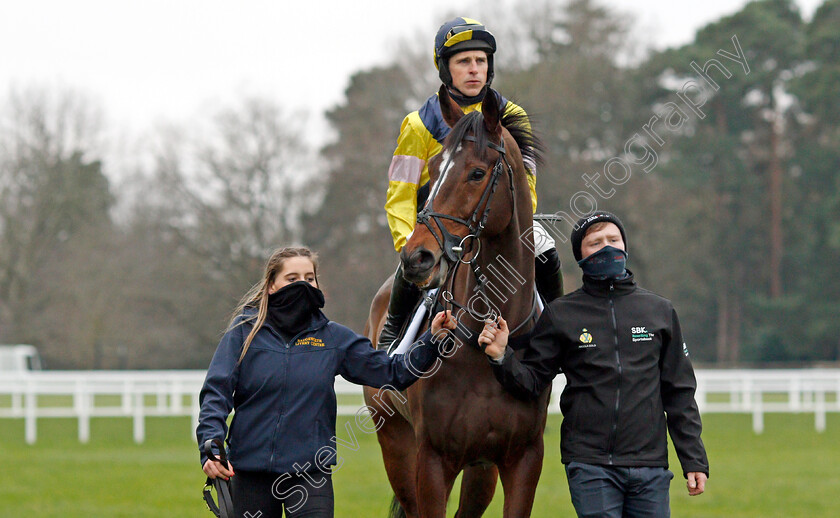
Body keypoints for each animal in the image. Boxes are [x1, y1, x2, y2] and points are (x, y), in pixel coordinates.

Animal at [362, 87, 552, 516]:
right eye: (434, 168)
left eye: (477, 173)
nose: (416, 258)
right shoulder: (432, 459)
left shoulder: (522, 458)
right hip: (395, 444)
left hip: (480, 469)